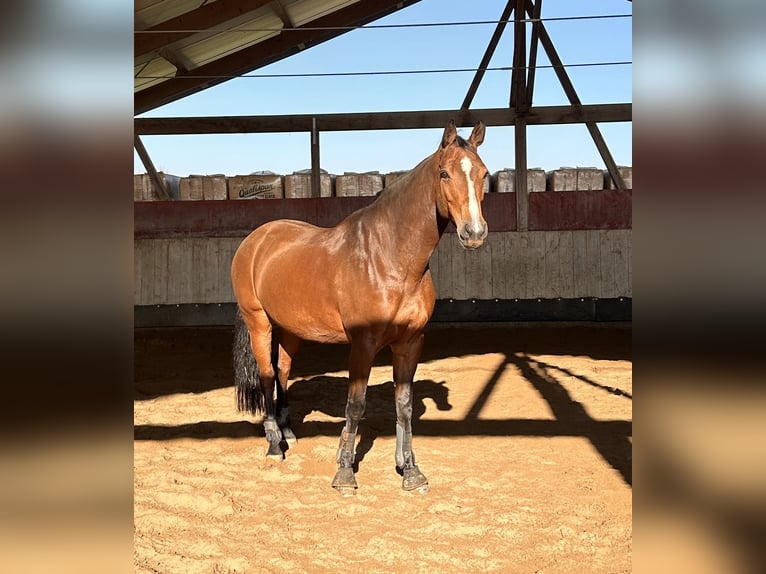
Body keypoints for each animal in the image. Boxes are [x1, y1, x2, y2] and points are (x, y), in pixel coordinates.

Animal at [231, 120, 488, 495]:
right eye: (444, 173)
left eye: (484, 174)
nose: (474, 232)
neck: (389, 257)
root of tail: (255, 241)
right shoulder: (363, 345)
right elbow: (355, 406)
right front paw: (344, 472)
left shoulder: (410, 343)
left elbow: (403, 405)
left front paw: (410, 471)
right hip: (259, 325)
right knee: (266, 377)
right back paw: (274, 446)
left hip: (291, 330)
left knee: (282, 372)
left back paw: (289, 432)